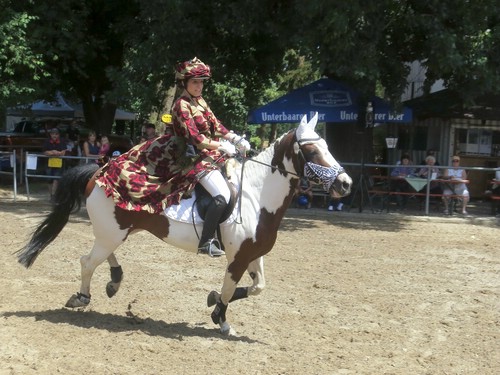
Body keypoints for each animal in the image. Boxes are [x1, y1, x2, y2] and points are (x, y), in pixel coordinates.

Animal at [15, 113, 352, 336]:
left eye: (326, 146)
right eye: (312, 150)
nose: (345, 184)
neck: (258, 197)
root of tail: (98, 174)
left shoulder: (253, 254)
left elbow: (257, 288)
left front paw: (214, 302)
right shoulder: (237, 258)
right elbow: (229, 289)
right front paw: (221, 319)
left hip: (116, 233)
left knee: (101, 257)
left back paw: (114, 279)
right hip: (111, 233)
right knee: (87, 262)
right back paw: (82, 297)